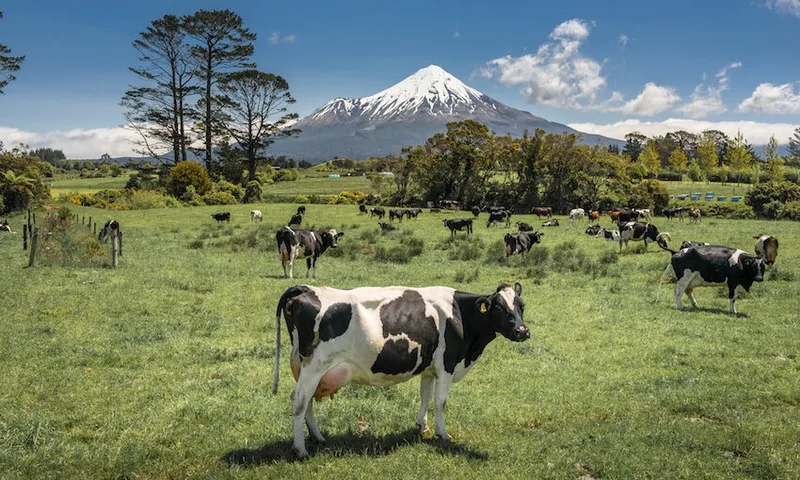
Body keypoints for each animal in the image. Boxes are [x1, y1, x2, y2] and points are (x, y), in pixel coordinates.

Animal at [271, 282, 531, 459]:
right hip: (314, 365)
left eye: (521, 306)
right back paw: (301, 449)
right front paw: (442, 433)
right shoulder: (446, 366)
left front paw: (422, 426)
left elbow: (425, 395)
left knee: (308, 401)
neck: (460, 315)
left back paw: (317, 437)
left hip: (308, 369)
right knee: (299, 400)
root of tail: (306, 288)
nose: (522, 331)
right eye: (499, 308)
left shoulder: (429, 368)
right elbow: (440, 402)